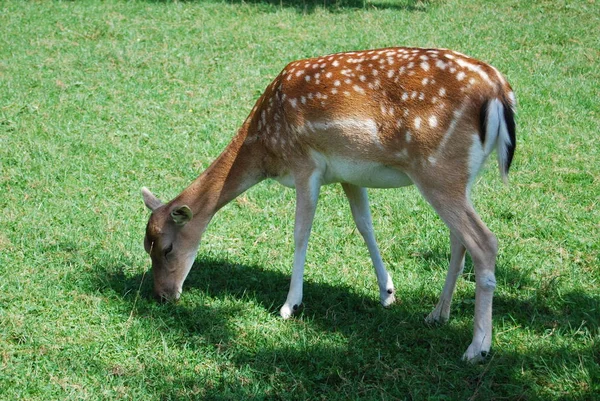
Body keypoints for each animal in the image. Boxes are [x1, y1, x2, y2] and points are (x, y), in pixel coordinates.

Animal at [142, 45, 516, 360]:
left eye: (167, 249)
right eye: (147, 246)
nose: (162, 295)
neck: (265, 146)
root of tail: (500, 90)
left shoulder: (306, 164)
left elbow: (300, 232)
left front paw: (290, 306)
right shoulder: (350, 174)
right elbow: (365, 226)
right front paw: (387, 292)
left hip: (437, 168)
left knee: (485, 241)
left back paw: (477, 347)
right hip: (461, 177)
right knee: (459, 240)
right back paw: (437, 314)